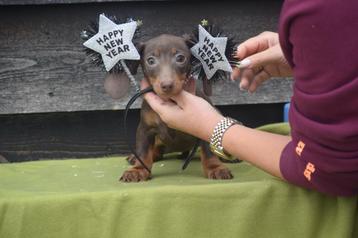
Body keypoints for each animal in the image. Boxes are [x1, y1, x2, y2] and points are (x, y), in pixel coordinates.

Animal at [119, 34, 234, 181]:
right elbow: (143, 152)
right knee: (156, 150)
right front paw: (138, 169)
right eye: (150, 60)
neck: (170, 101)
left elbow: (209, 152)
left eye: (180, 58)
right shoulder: (145, 129)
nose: (167, 85)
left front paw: (215, 167)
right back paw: (137, 157)